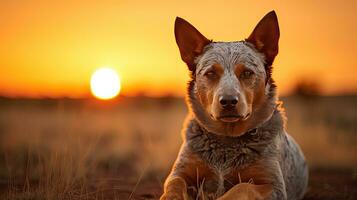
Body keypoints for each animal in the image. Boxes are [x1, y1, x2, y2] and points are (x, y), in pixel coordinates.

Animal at [160, 11, 308, 200]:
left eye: (247, 72)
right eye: (210, 73)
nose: (228, 101)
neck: (227, 141)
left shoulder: (273, 185)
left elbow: (242, 187)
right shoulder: (181, 172)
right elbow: (175, 184)